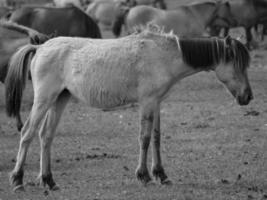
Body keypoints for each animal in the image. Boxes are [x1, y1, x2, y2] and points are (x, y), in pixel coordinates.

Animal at [5, 24, 253, 191]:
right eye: (237, 64)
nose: (248, 96)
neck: (164, 54)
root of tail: (39, 47)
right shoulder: (147, 103)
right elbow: (144, 138)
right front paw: (144, 176)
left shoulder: (157, 103)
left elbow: (156, 138)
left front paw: (161, 175)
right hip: (44, 100)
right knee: (27, 133)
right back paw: (18, 180)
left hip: (59, 100)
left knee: (46, 136)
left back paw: (49, 181)